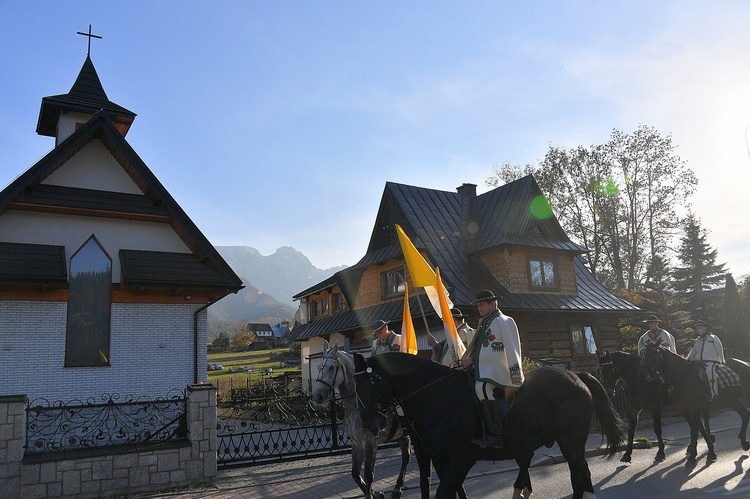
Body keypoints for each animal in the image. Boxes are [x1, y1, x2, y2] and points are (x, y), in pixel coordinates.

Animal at [312, 344, 414, 499]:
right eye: (318, 367)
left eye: (331, 367)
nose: (318, 396)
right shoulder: (357, 443)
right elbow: (355, 475)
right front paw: (376, 493)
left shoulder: (370, 443)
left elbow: (368, 476)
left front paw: (371, 494)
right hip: (404, 434)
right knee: (406, 454)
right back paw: (397, 489)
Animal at [356, 354, 624, 498]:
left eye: (366, 384)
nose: (368, 424)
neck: (436, 394)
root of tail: (578, 376)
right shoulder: (438, 459)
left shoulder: (460, 460)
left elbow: (444, 492)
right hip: (571, 444)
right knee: (583, 471)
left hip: (571, 442)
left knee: (577, 475)